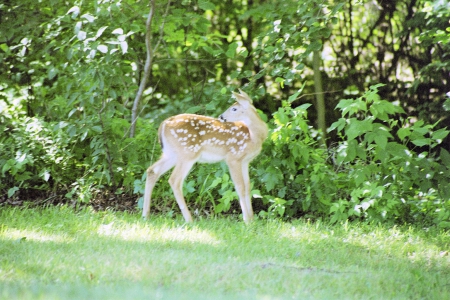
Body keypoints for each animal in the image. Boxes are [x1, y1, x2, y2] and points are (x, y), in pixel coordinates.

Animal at [142, 89, 268, 223]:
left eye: (234, 108)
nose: (221, 117)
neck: (254, 136)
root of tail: (163, 124)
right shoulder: (233, 157)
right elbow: (240, 187)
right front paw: (247, 220)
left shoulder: (245, 161)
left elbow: (248, 186)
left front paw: (252, 219)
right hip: (188, 153)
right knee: (174, 180)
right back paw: (189, 219)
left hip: (171, 153)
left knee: (152, 170)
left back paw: (145, 215)